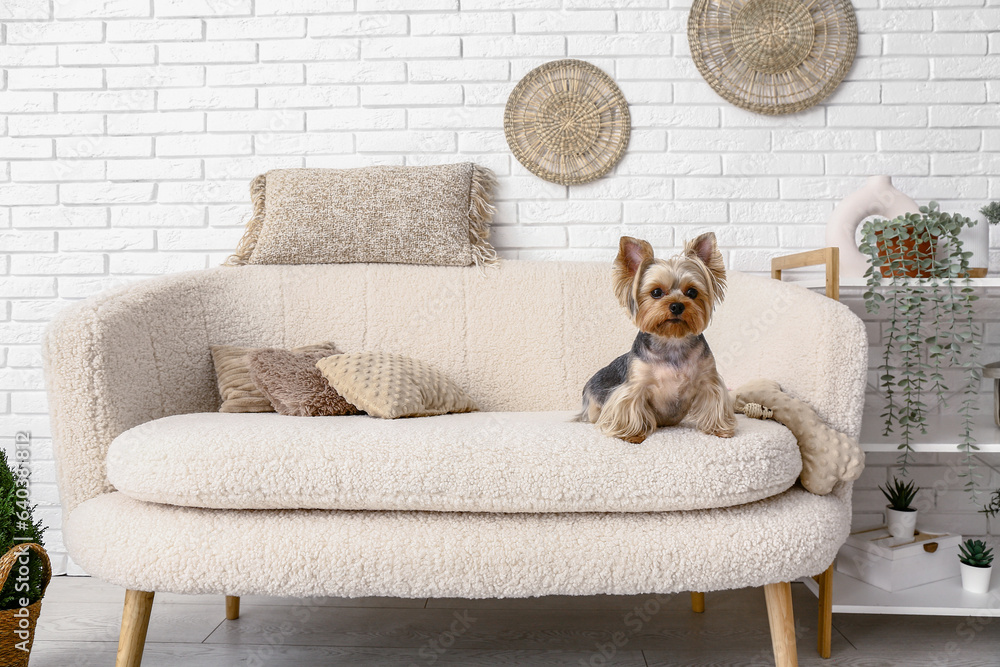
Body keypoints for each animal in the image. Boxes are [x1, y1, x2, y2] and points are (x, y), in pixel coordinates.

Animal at [584, 232, 740, 446]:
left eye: (692, 292)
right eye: (656, 292)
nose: (677, 305)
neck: (672, 341)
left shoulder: (708, 380)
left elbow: (713, 402)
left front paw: (719, 429)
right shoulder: (635, 386)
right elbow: (631, 409)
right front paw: (632, 434)